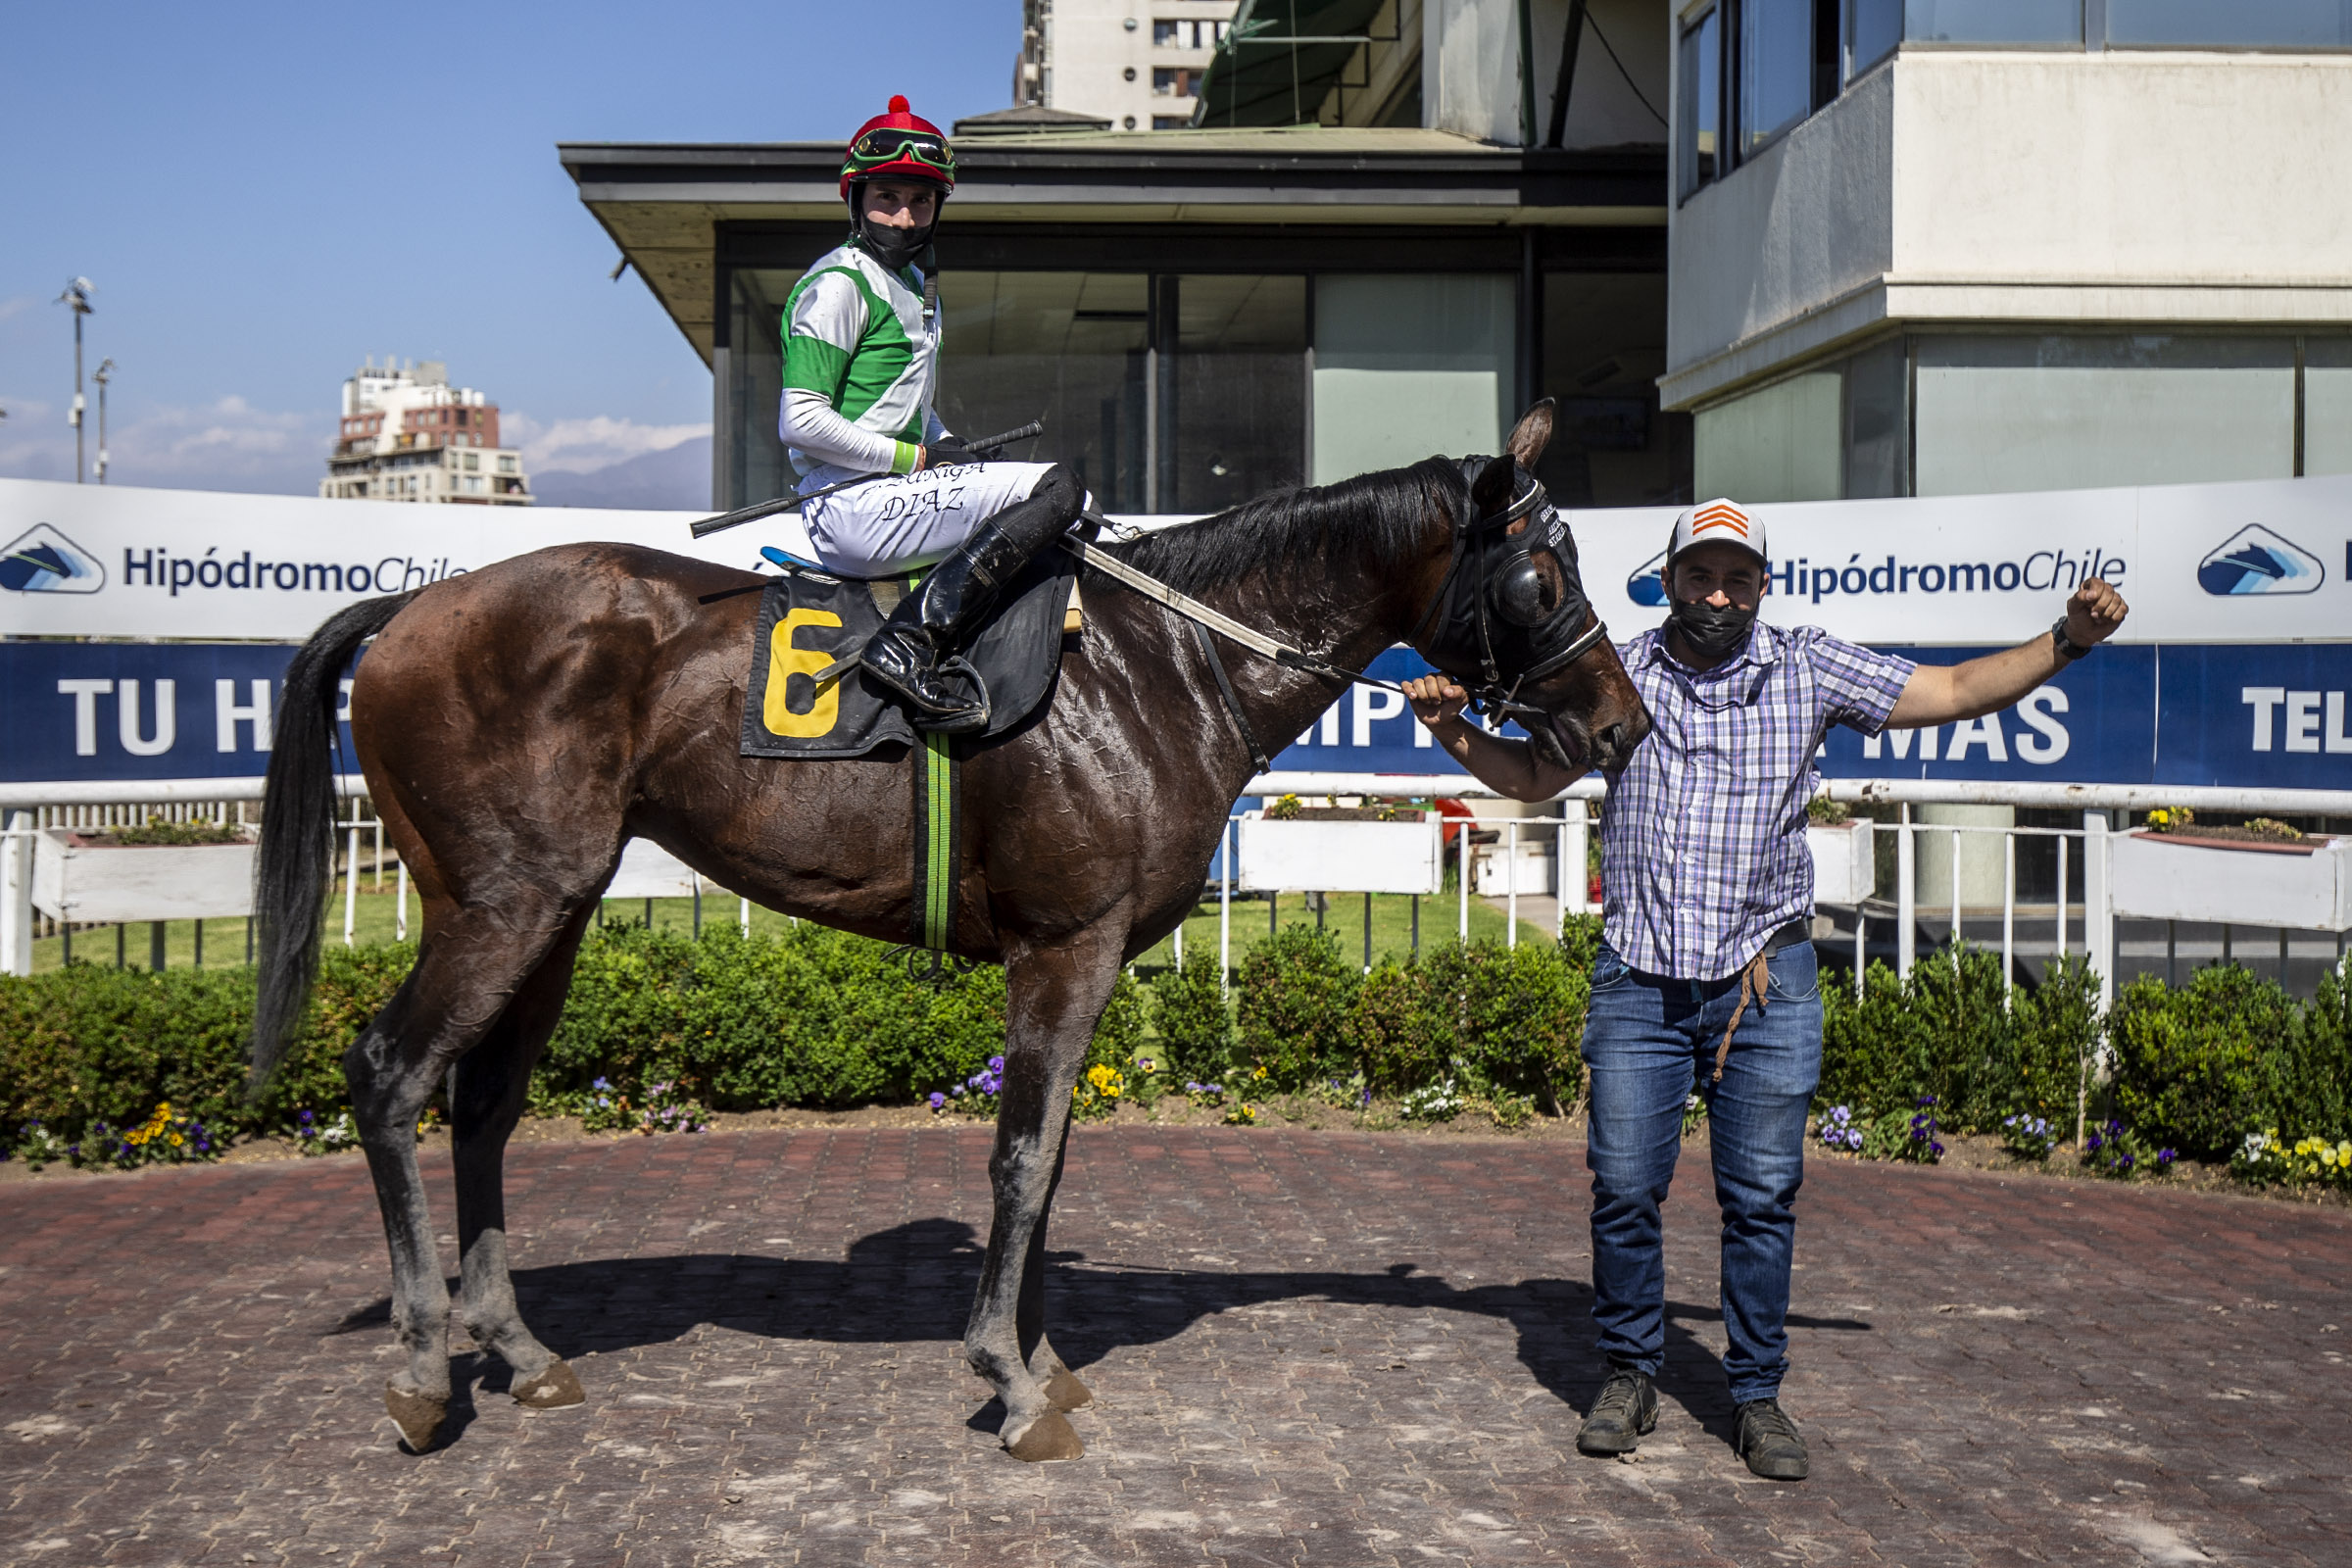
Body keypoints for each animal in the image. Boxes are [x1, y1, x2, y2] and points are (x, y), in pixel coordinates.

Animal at [247, 402, 1650, 1461]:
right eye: (1540, 575)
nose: (1624, 723)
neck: (1160, 663)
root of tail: (413, 612)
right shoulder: (1066, 944)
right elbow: (1023, 1158)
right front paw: (1013, 1381)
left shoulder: (1087, 957)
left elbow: (1054, 1154)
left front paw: (1042, 1355)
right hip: (509, 904)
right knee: (389, 1074)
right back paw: (424, 1369)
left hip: (549, 909)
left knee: (480, 1104)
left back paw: (519, 1348)